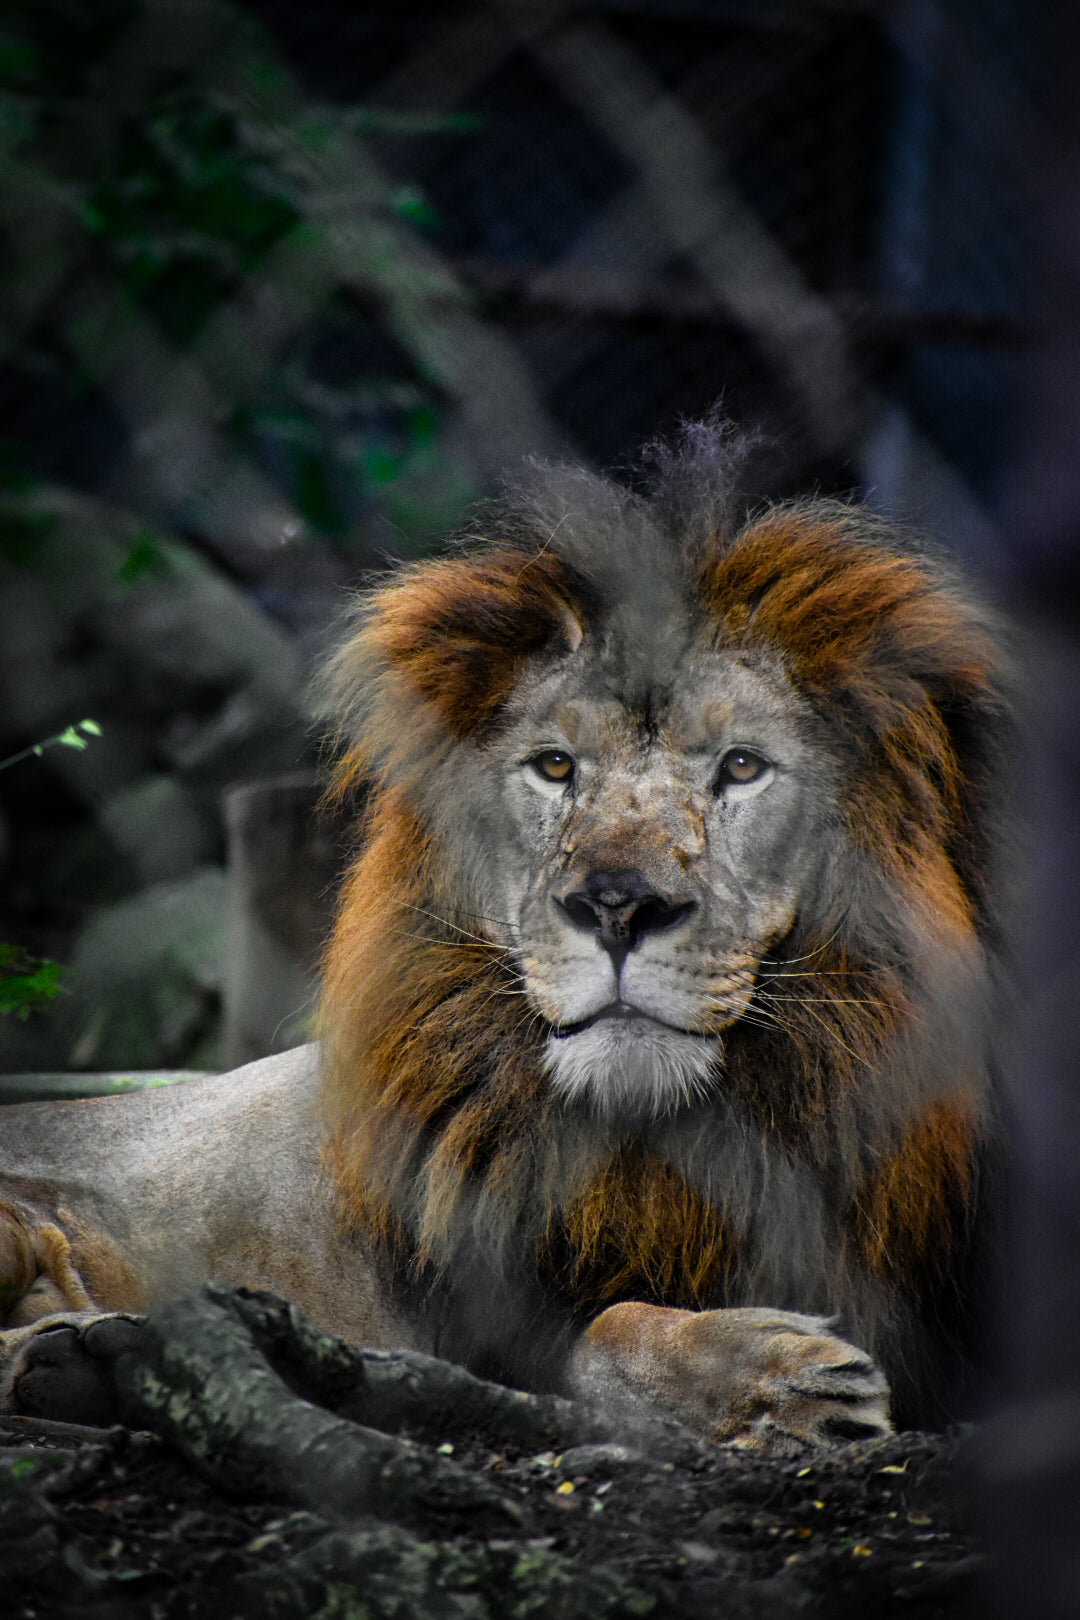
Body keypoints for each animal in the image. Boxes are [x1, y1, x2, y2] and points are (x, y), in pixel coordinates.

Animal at [0, 422, 1009, 1450]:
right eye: (555, 767)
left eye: (740, 767)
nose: (617, 907)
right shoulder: (485, 1316)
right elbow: (607, 1337)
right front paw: (778, 1379)